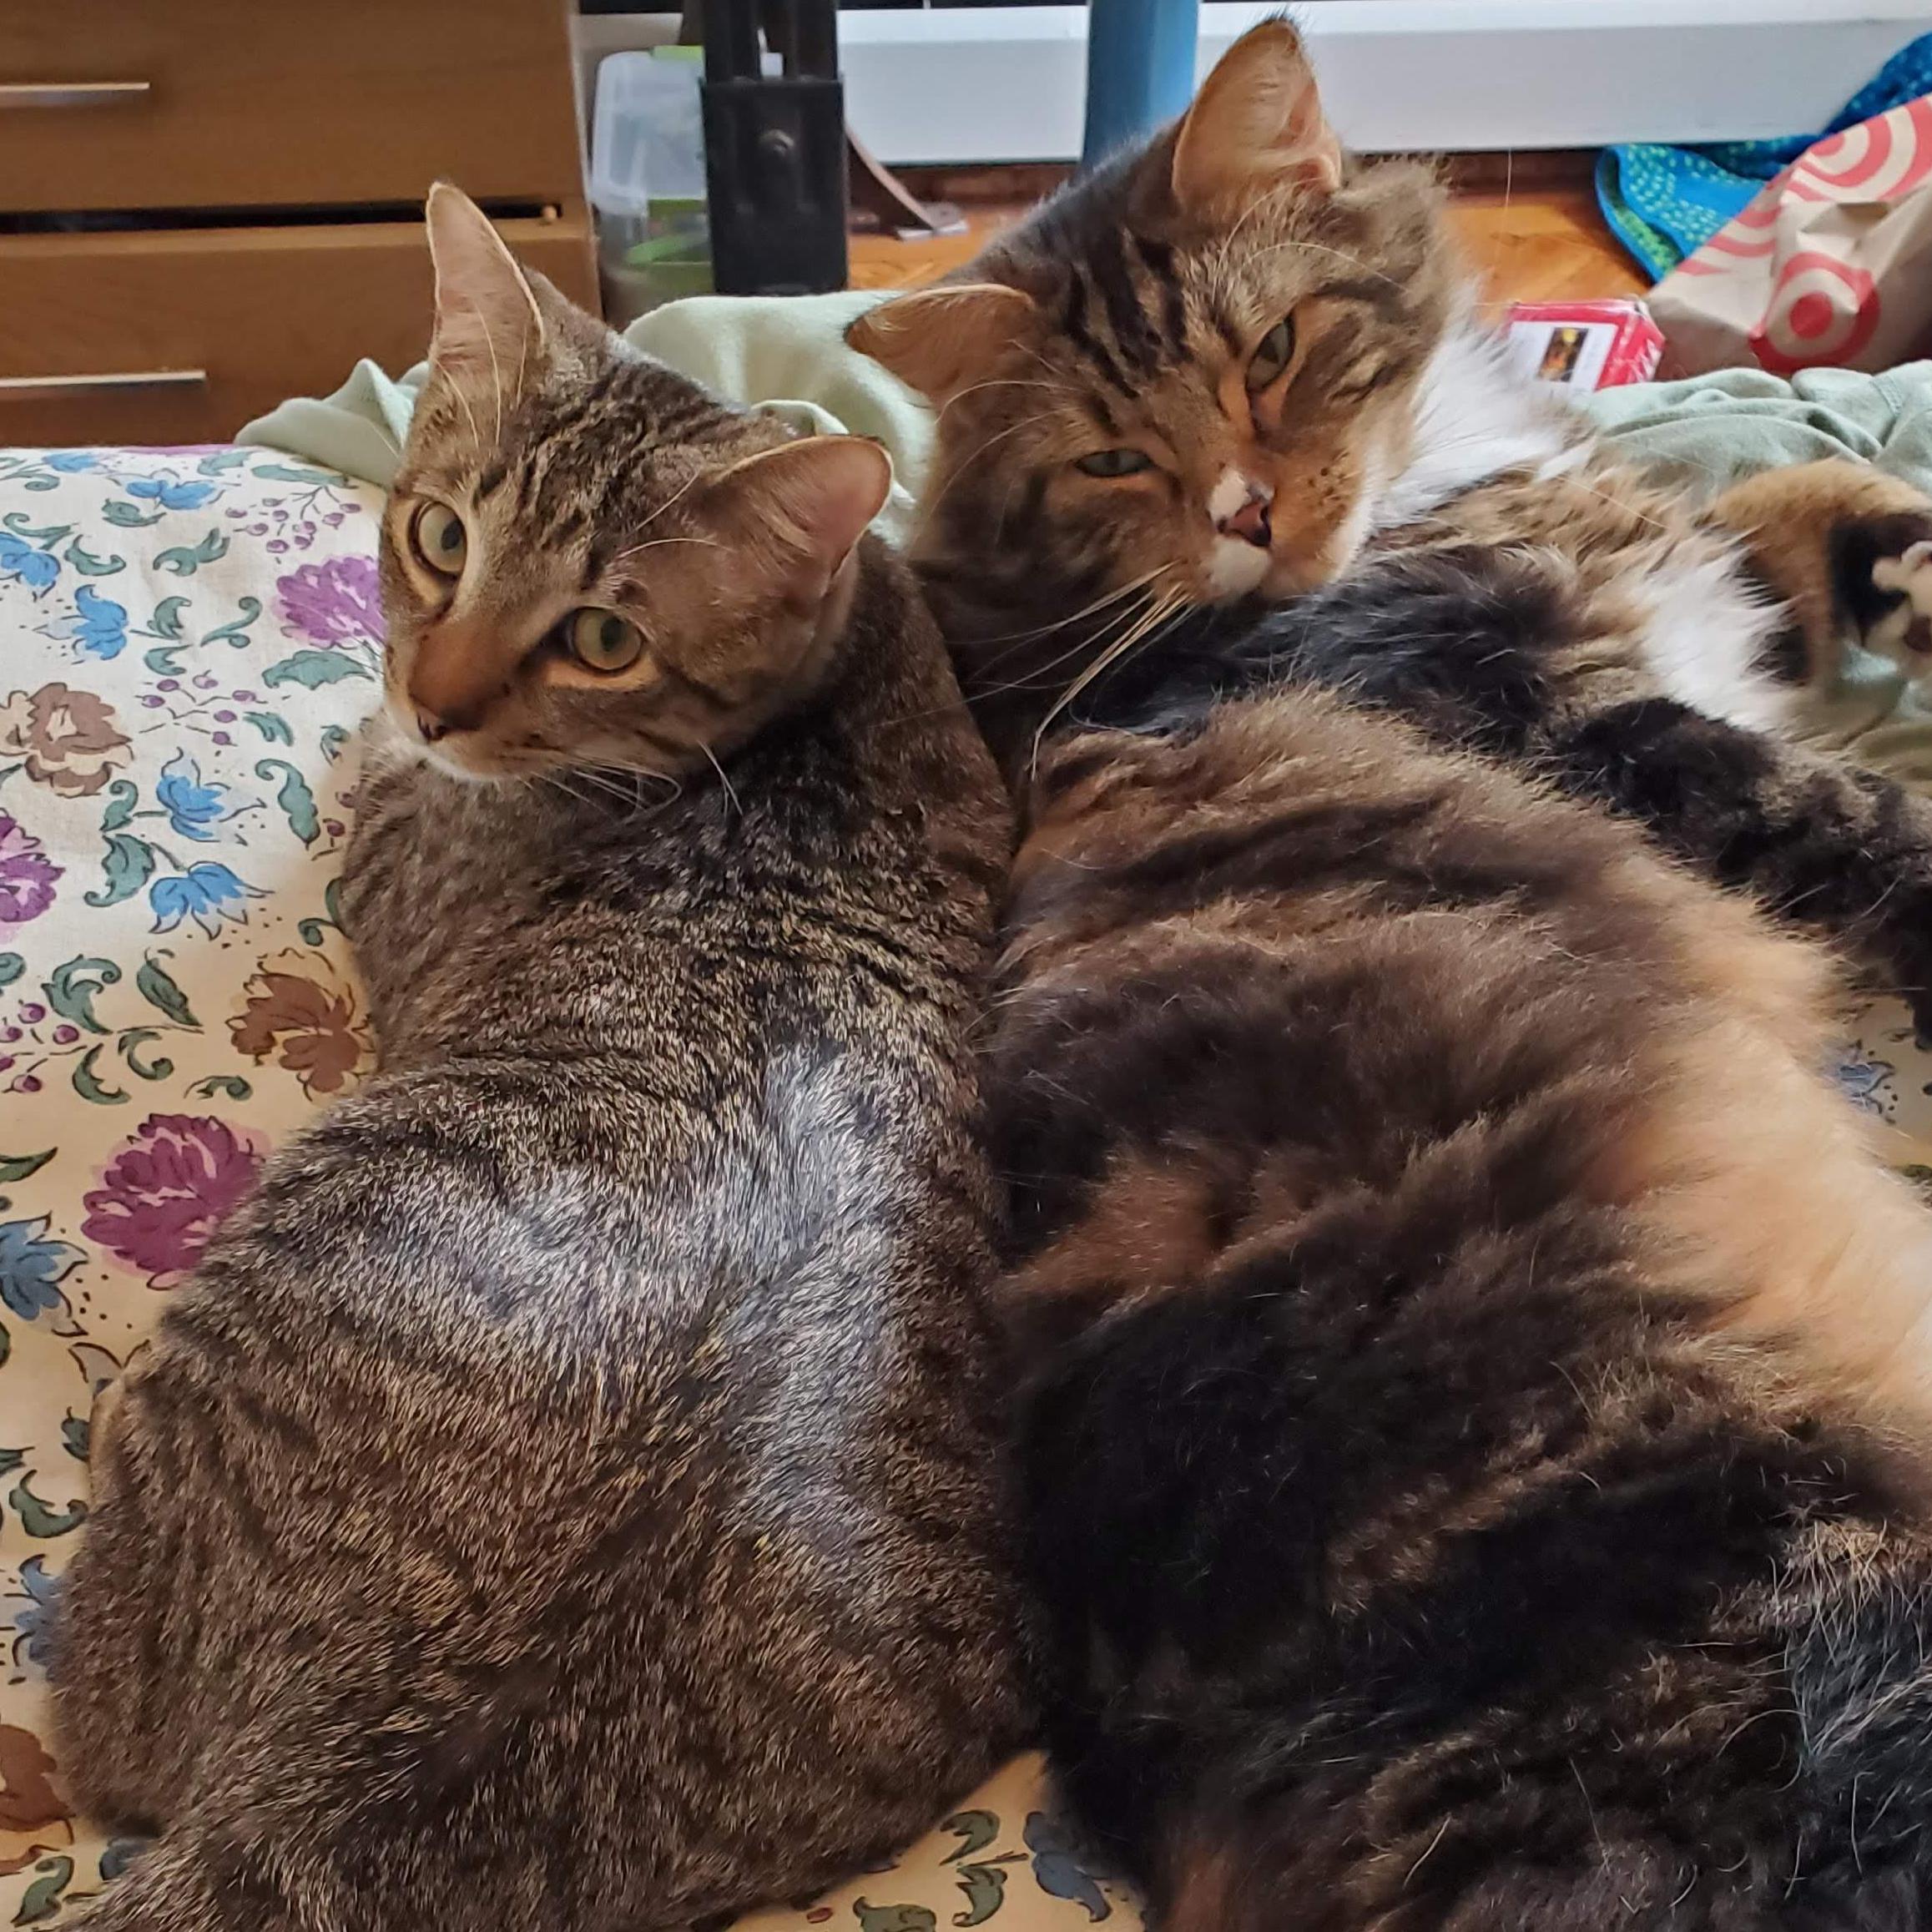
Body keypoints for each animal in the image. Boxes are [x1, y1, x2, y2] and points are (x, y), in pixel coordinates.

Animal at [51, 185, 1027, 1932]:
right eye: (444, 538)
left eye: (602, 636)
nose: (436, 694)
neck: (802, 720)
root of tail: (305, 1803)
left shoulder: (395, 830)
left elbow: (355, 762)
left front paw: (360, 721)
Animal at [848, 22, 1932, 1032]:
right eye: (1113, 462)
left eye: (1271, 351)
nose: (1245, 513)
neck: (1432, 468)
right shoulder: (1559, 715)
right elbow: (1849, 807)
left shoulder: (1697, 590)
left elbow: (1796, 500)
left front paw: (1908, 565)